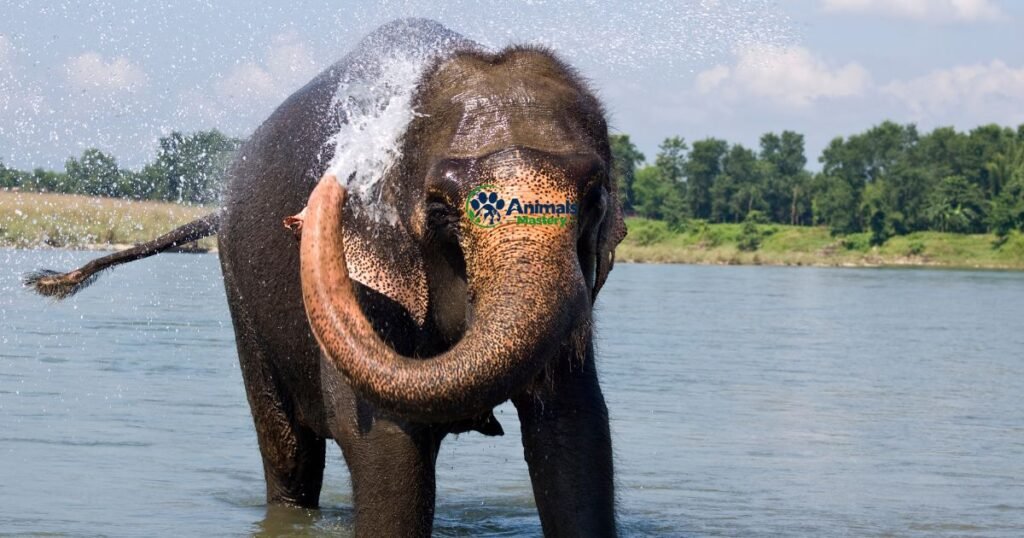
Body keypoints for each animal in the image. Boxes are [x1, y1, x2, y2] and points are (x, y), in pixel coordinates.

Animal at [26, 19, 625, 537]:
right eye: (439, 208)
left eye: (595, 197)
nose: (322, 192)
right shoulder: (370, 283)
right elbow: (384, 439)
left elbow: (576, 429)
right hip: (240, 292)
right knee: (288, 454)